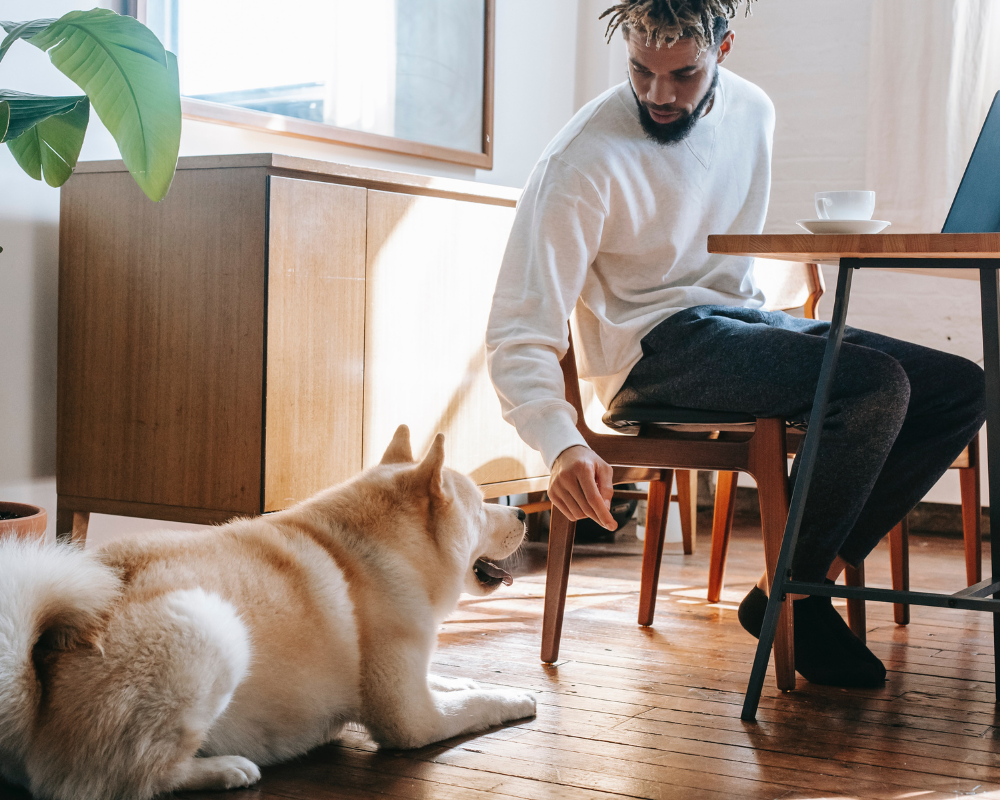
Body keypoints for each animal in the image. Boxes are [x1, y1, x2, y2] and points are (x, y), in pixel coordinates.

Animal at [0, 428, 540, 796]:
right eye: (482, 506)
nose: (520, 511)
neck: (365, 553)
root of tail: (37, 677)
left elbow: (452, 681)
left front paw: (465, 679)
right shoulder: (412, 720)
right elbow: (481, 704)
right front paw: (515, 696)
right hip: (210, 626)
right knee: (136, 779)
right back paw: (224, 769)